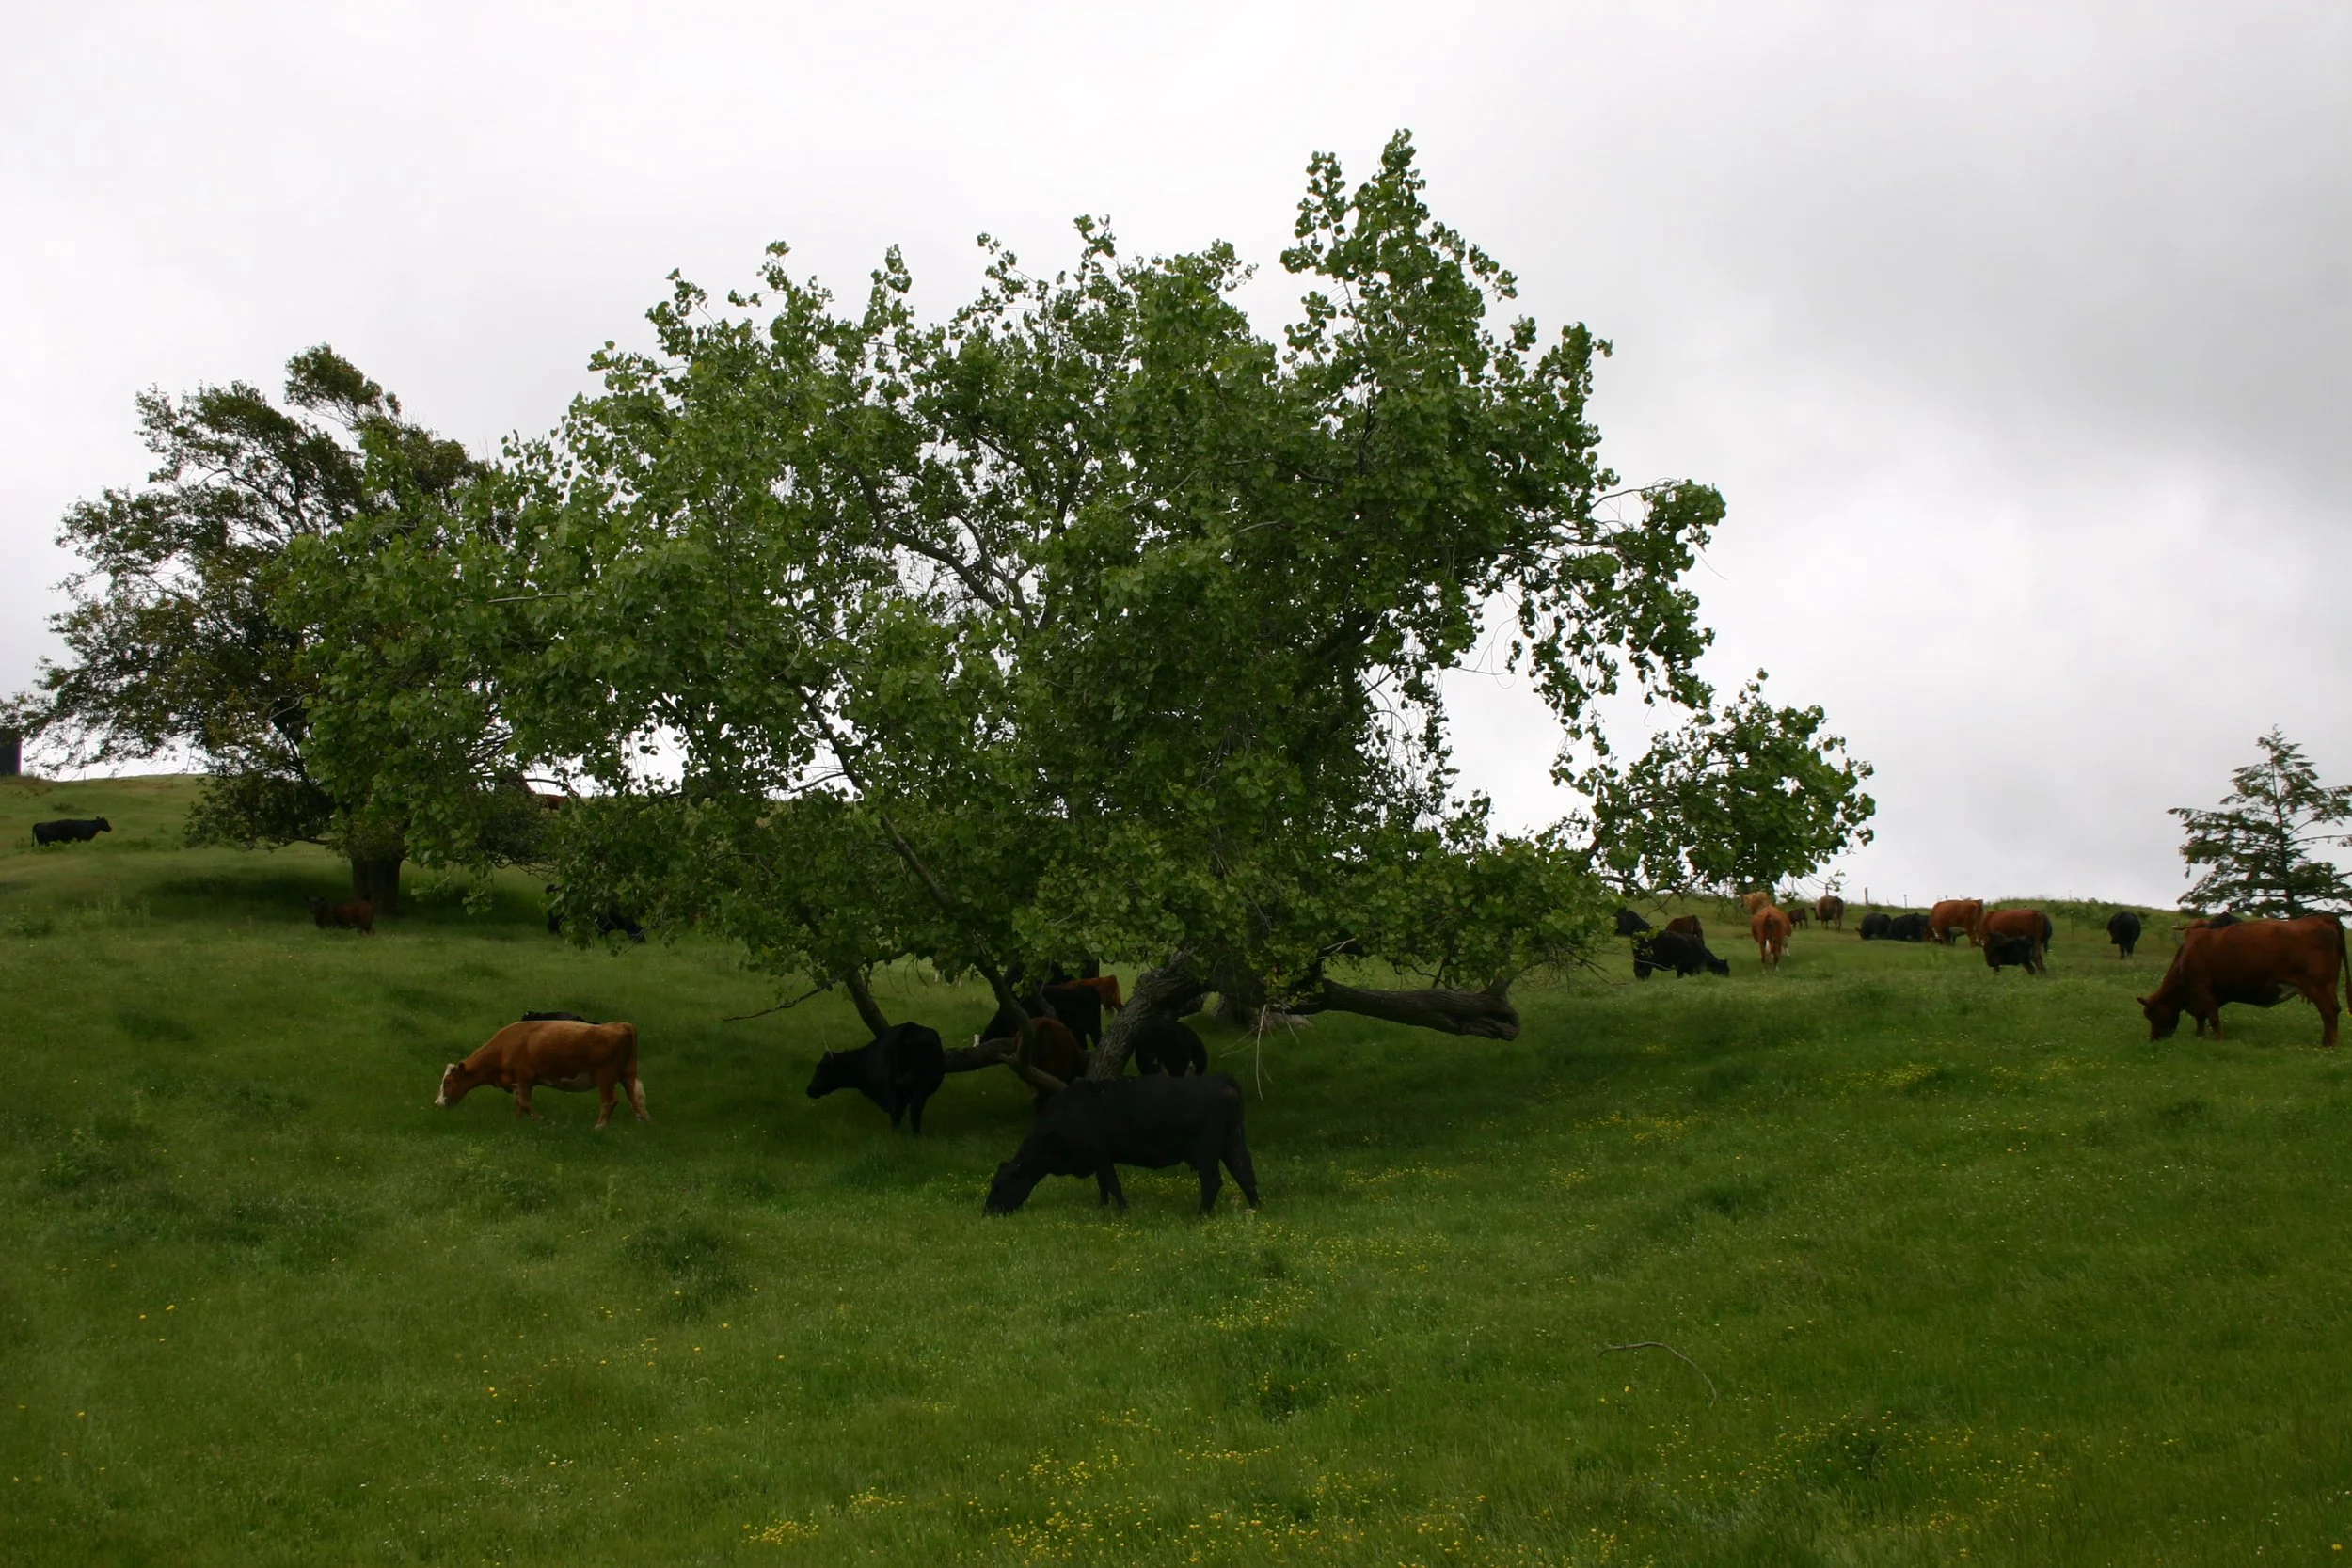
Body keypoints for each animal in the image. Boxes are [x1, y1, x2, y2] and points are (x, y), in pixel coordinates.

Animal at [436, 1018, 646, 1127]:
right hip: (627, 1075)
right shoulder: (519, 1082)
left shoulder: (524, 1077)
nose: (438, 1104)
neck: (504, 1047)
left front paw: (545, 1121)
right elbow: (520, 1103)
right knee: (635, 1099)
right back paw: (644, 1122)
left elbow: (525, 1101)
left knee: (610, 1100)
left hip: (605, 1077)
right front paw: (519, 1122)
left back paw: (599, 1127)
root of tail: (622, 1025)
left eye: (448, 1082)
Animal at [807, 1022, 948, 1134]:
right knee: (913, 1114)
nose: (809, 1089)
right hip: (920, 1088)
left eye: (822, 1069)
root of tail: (908, 1028)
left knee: (898, 1114)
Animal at [985, 1073, 1259, 1216]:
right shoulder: (1095, 1159)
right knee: (1245, 1173)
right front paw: (1102, 1207)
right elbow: (1103, 1185)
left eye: (999, 1186)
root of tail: (1222, 1080)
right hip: (1233, 1142)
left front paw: (1124, 1211)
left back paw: (1201, 1215)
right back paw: (1255, 1209)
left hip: (1206, 1149)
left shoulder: (1098, 1153)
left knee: (1212, 1181)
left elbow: (1112, 1183)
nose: (987, 1210)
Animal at [2138, 915, 2347, 1047]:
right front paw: (2200, 1037)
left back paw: (2329, 1046)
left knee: (2328, 1012)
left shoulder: (2202, 989)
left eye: (2152, 1015)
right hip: (2328, 987)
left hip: (2317, 986)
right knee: (2334, 1011)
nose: (2153, 1040)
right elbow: (2202, 1017)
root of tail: (2321, 918)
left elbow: (2212, 1018)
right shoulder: (2212, 994)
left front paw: (2218, 1041)